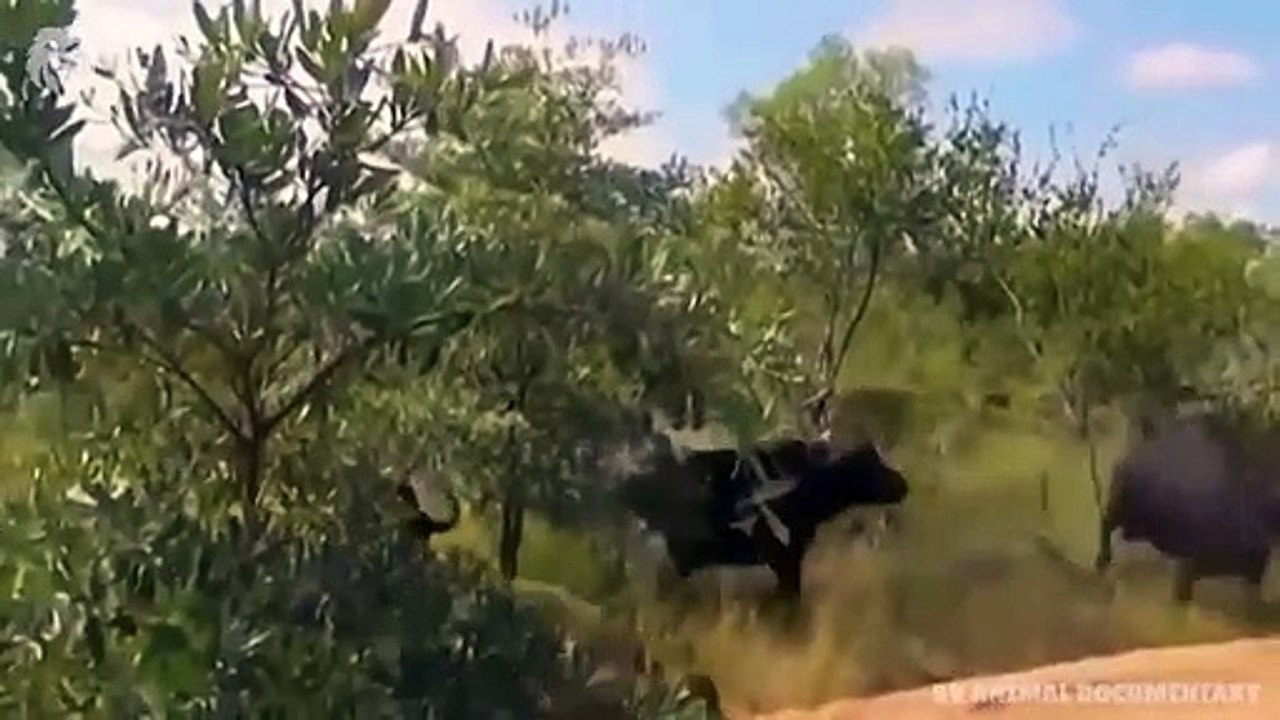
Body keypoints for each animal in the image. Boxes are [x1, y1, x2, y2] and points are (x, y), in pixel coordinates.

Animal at [1095, 415, 1280, 607]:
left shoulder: (1255, 567)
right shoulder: (1187, 567)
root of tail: (1126, 461)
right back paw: (1102, 561)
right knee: (1106, 526)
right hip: (1117, 509)